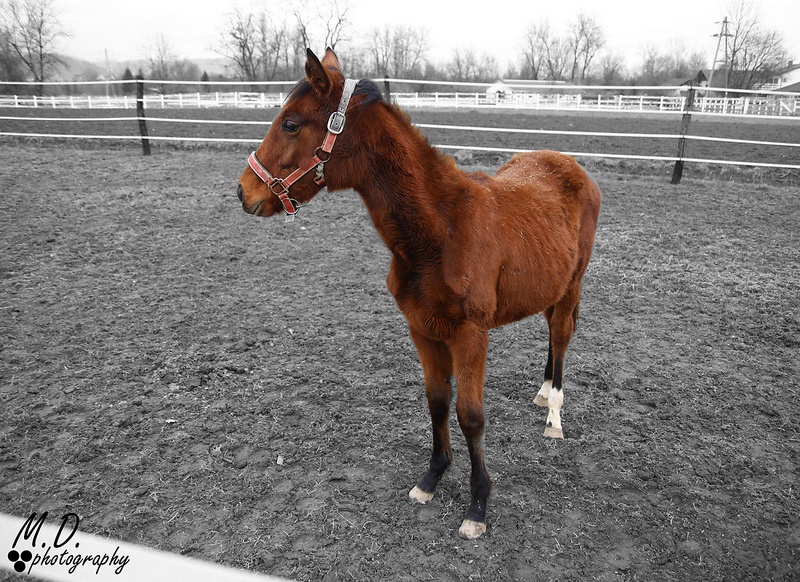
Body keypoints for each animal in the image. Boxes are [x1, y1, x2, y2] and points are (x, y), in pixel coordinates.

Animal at [237, 48, 601, 539]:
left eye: (291, 123)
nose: (243, 191)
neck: (441, 231)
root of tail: (572, 166)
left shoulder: (471, 334)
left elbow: (470, 415)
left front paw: (477, 505)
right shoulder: (422, 329)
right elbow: (437, 402)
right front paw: (431, 478)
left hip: (571, 287)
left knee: (561, 336)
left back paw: (554, 417)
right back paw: (543, 393)